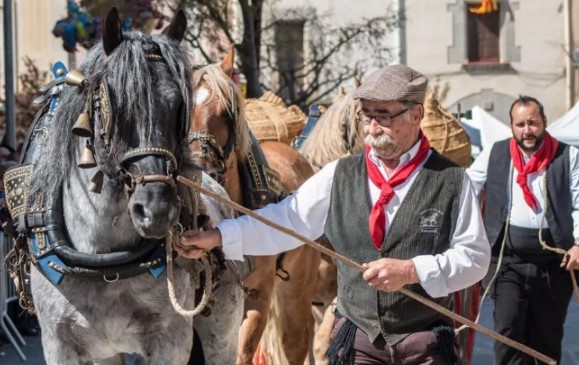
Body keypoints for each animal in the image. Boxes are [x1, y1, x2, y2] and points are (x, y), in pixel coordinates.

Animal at [4, 9, 236, 364]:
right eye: (116, 105)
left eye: (178, 108)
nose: (156, 210)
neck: (104, 261)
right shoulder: (61, 344)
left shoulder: (170, 342)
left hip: (221, 338)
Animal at [188, 48, 320, 364]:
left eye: (226, 112)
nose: (202, 168)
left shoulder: (257, 296)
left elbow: (243, 352)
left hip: (296, 290)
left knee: (295, 341)